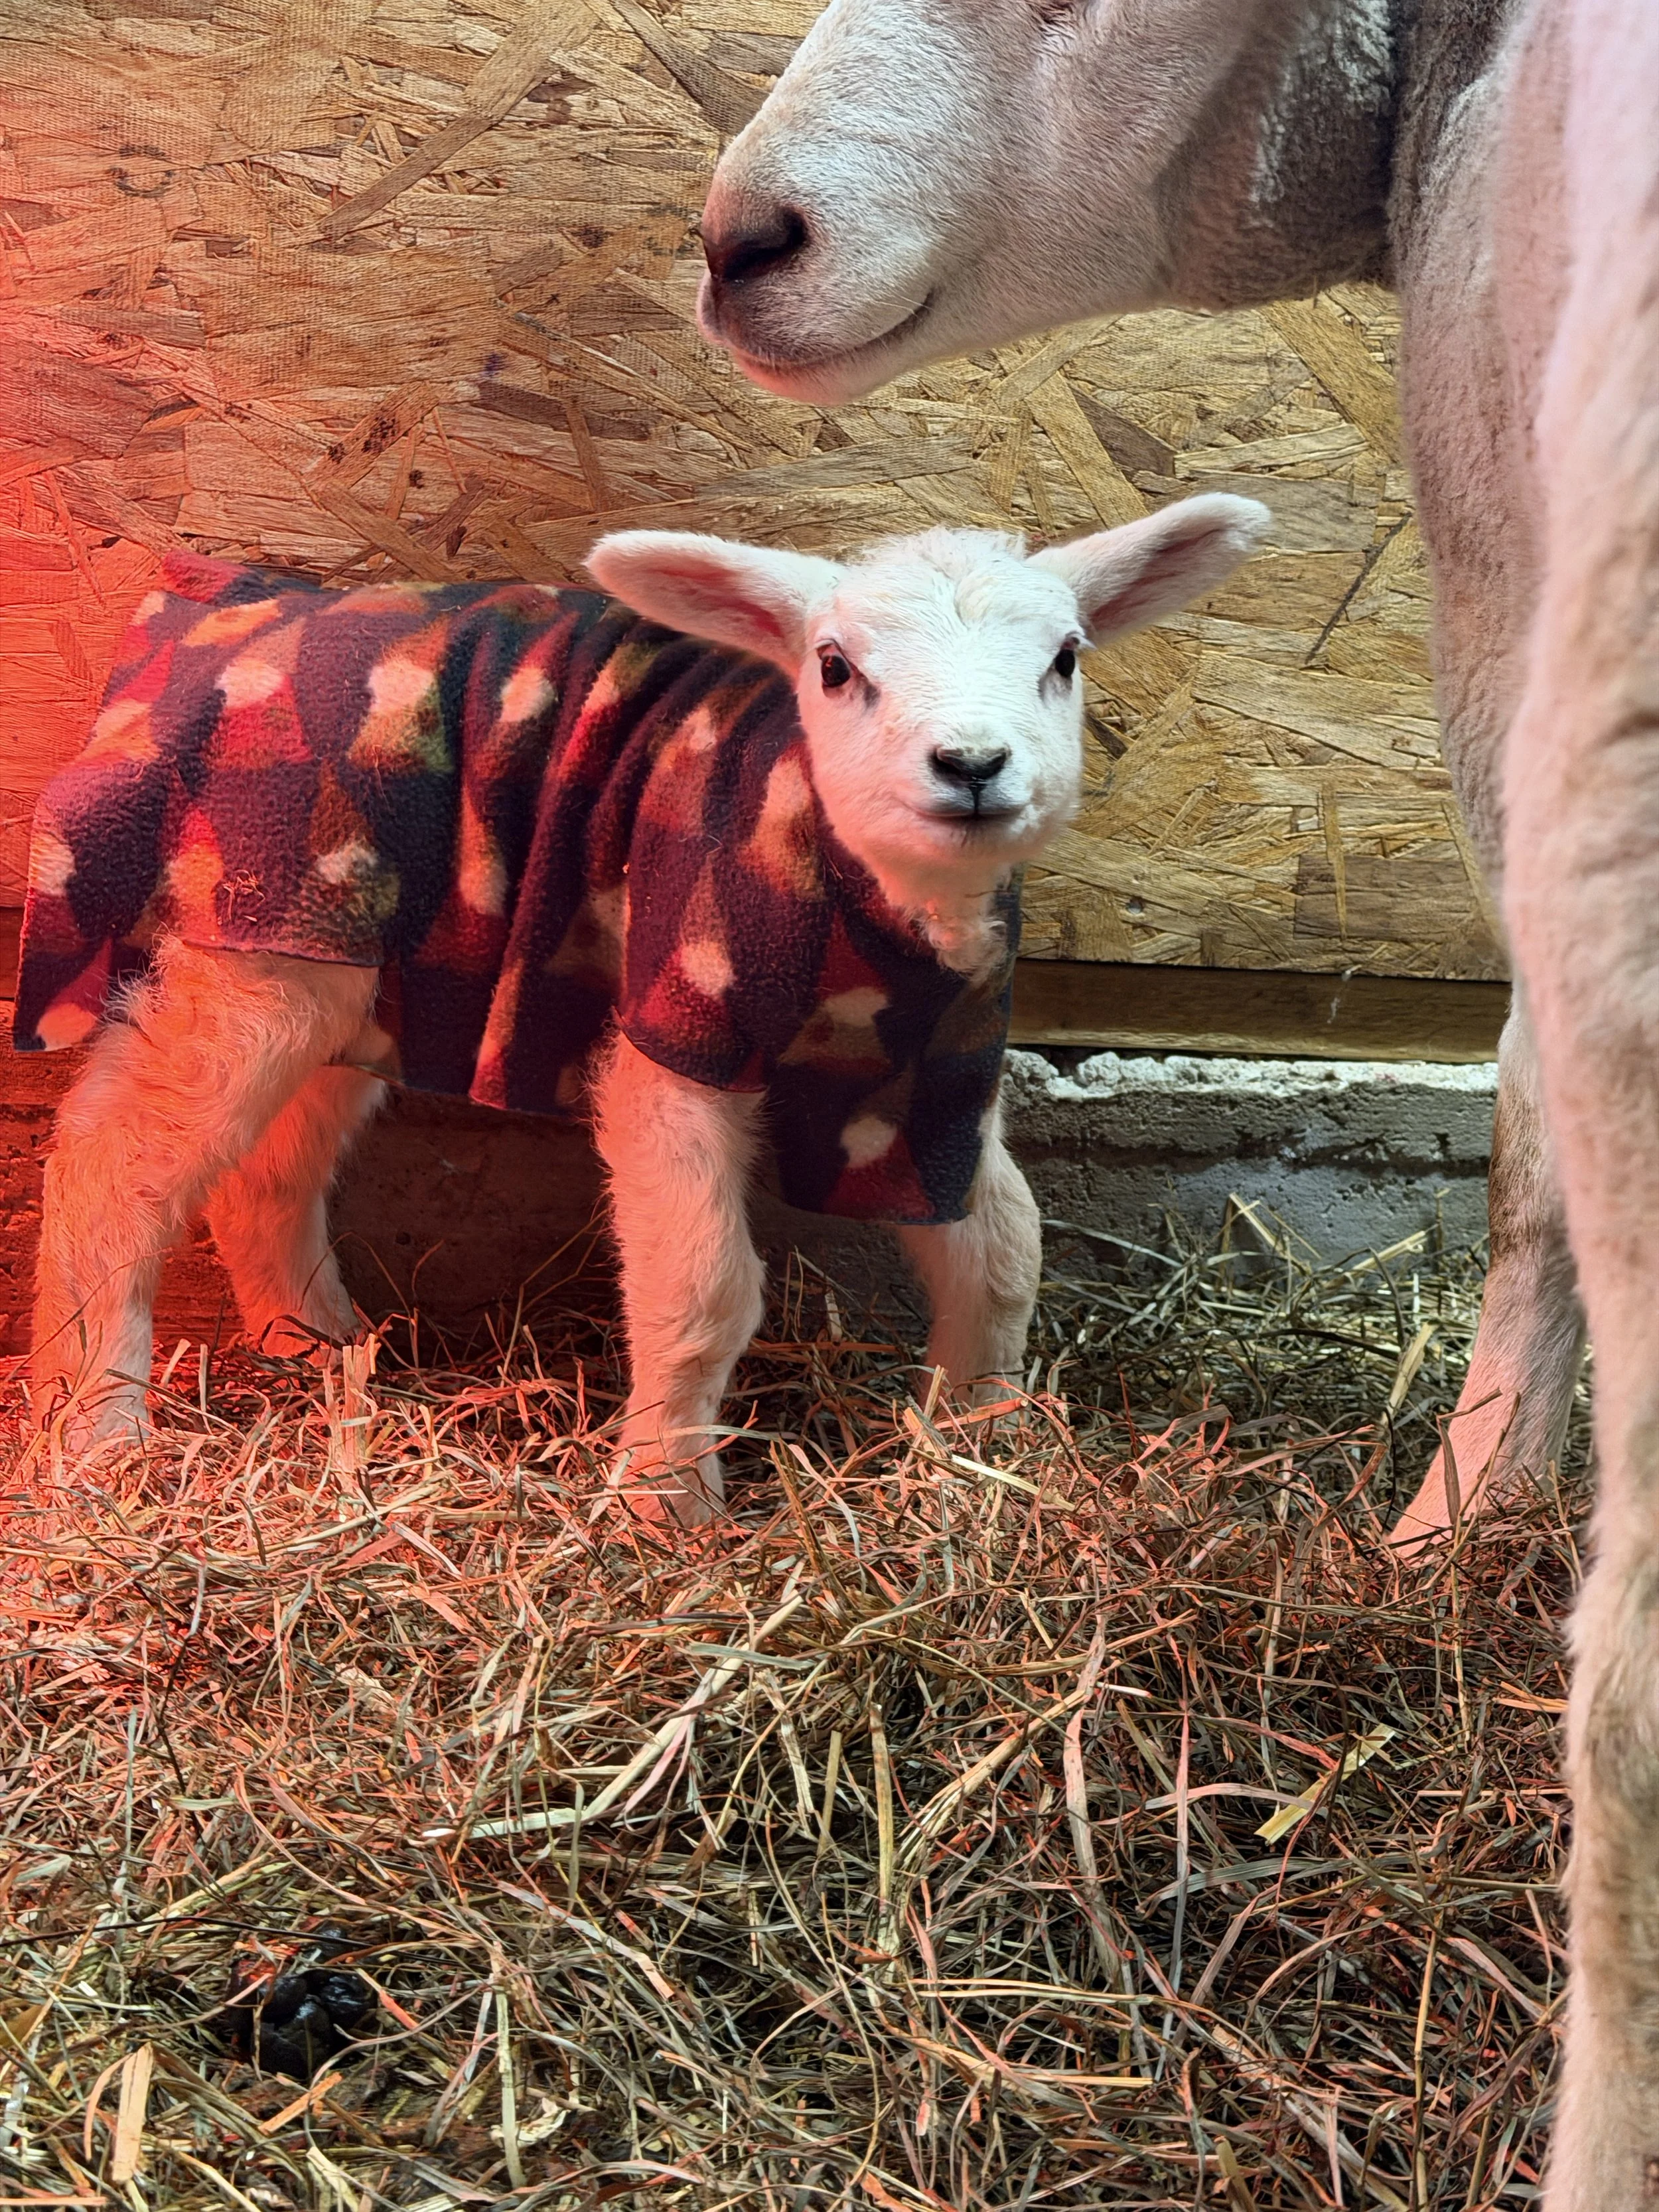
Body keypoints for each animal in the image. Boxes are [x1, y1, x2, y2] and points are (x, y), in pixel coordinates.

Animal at [16, 495, 1268, 1523]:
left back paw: (323, 1350)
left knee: (268, 1170)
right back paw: (97, 1442)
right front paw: (669, 1509)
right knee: (116, 1167)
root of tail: (205, 613)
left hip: (345, 959)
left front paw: (978, 1451)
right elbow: (705, 1282)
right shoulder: (678, 1027)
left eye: (1065, 658)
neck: (868, 909)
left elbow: (1004, 1245)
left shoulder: (932, 1080)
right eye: (834, 666)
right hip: (260, 935)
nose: (971, 764)